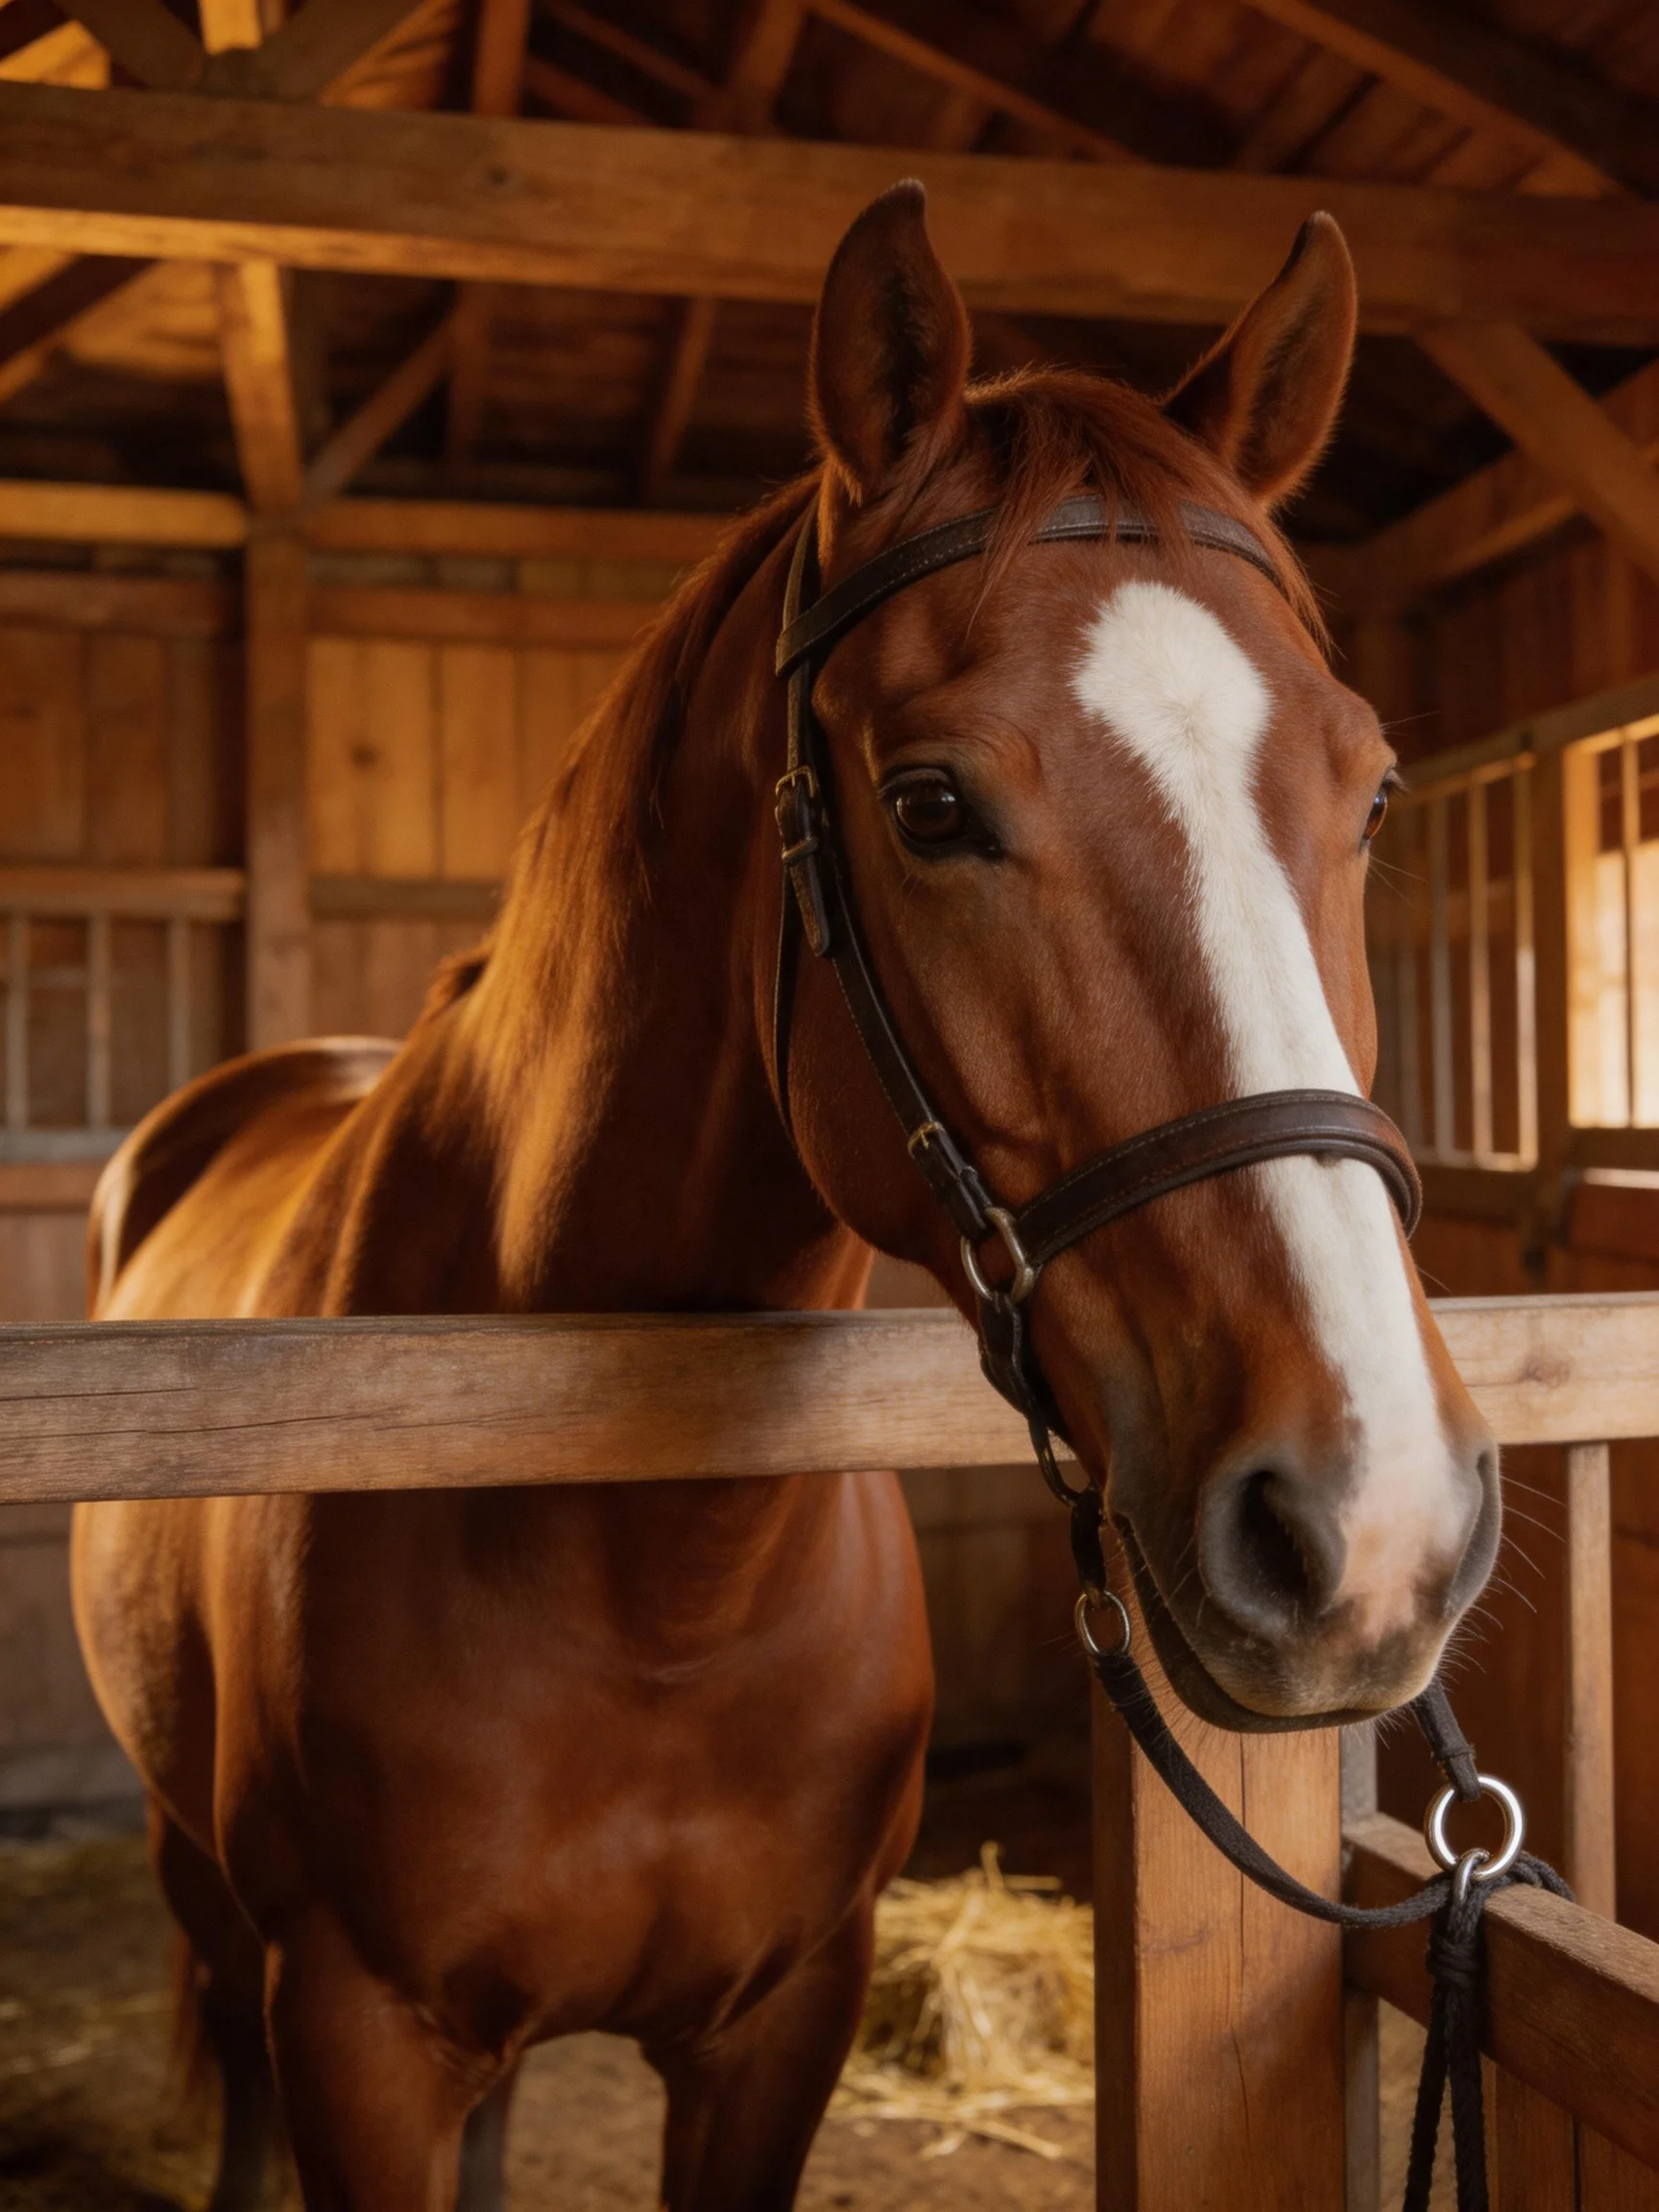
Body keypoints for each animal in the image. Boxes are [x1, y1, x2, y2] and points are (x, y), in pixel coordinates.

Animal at [71, 183, 1497, 2211]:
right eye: (927, 804)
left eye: (1371, 792)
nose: (1369, 1524)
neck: (652, 1573)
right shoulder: (356, 2035)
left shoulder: (778, 2024)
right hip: (211, 1894)